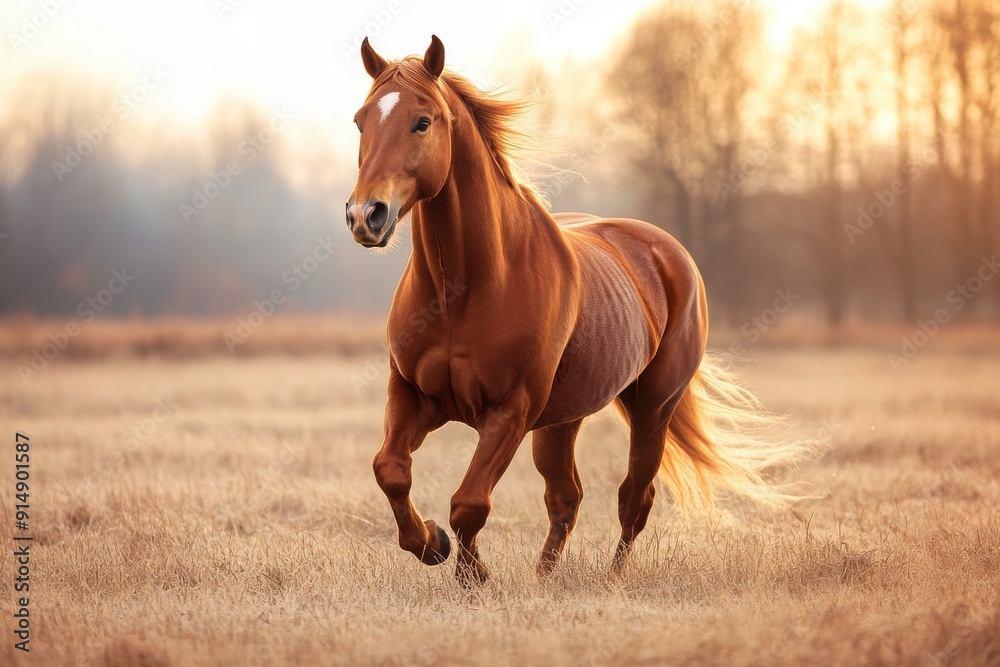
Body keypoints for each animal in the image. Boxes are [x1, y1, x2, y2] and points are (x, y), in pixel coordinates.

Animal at [346, 35, 805, 586]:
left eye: (422, 120)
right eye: (361, 121)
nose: (365, 215)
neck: (466, 289)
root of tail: (667, 252)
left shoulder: (510, 412)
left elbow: (469, 503)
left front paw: (472, 574)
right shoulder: (413, 395)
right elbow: (390, 470)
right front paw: (431, 543)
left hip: (652, 409)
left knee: (634, 498)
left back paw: (611, 578)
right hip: (561, 423)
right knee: (566, 498)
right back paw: (544, 577)